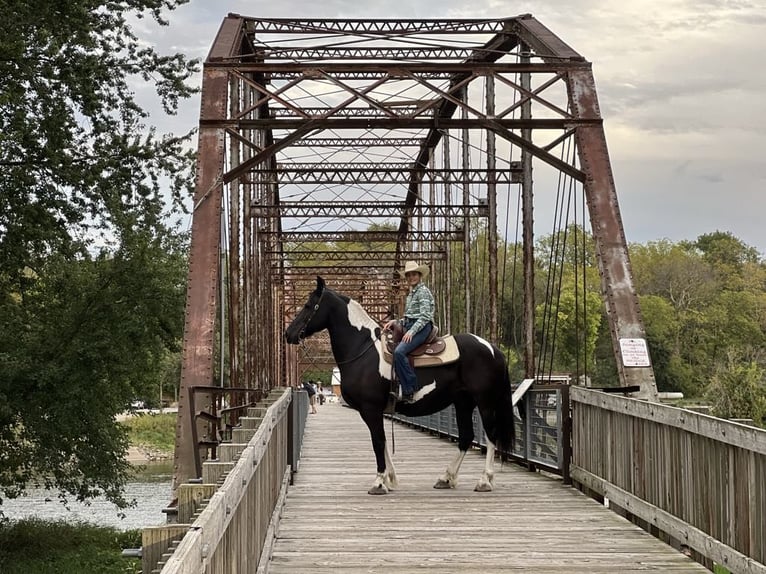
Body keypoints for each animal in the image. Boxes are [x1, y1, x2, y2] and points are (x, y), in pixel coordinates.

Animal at [284, 276, 516, 495]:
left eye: (308, 305)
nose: (288, 334)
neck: (363, 351)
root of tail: (493, 349)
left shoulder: (370, 409)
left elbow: (378, 442)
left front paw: (379, 482)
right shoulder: (375, 411)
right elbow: (383, 441)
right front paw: (390, 478)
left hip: (485, 402)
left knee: (491, 435)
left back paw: (484, 480)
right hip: (463, 402)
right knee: (466, 436)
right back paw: (446, 478)